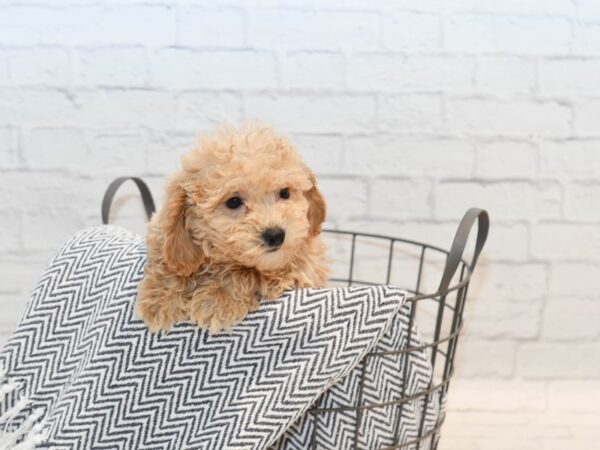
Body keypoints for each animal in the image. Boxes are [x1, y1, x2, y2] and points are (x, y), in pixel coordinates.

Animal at [137, 125, 328, 332]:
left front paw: (217, 300)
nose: (276, 235)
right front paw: (160, 300)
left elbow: (244, 272)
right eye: (234, 201)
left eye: (285, 192)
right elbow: (169, 257)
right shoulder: (160, 228)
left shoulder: (300, 268)